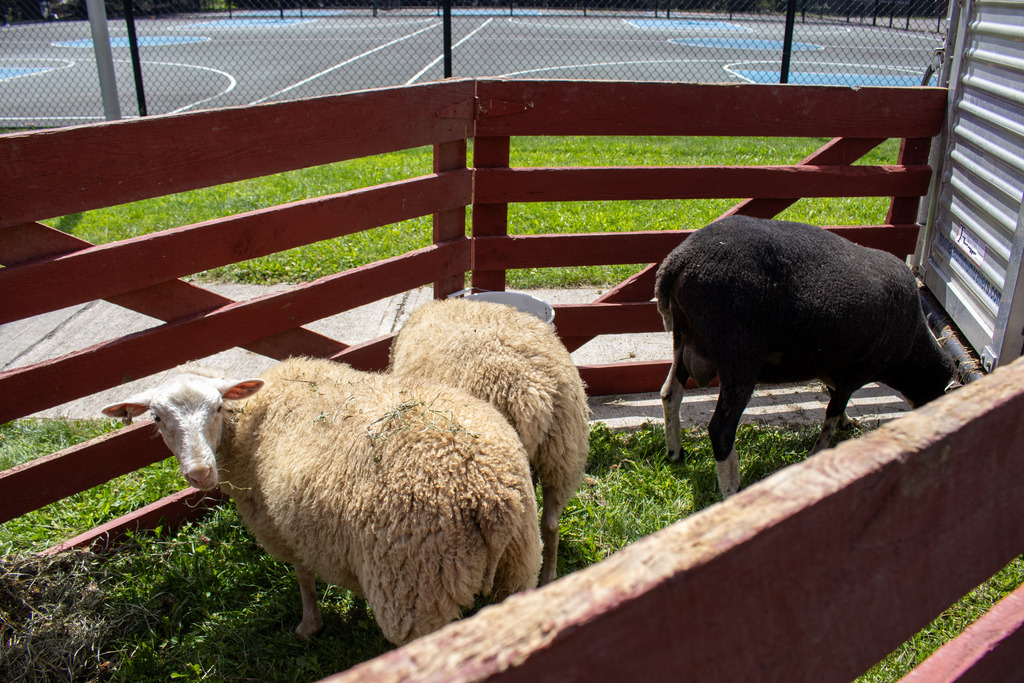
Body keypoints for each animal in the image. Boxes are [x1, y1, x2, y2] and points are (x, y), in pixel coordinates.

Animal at [100, 356, 541, 646]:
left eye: (218, 407)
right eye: (156, 418)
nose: (198, 473)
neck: (247, 418)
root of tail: (487, 496)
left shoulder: (280, 526)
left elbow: (303, 577)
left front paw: (309, 626)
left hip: (417, 591)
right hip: (517, 567)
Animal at [655, 215, 957, 498]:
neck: (912, 347)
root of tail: (678, 261)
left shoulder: (833, 365)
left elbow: (834, 398)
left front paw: (848, 422)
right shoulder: (858, 370)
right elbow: (832, 412)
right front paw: (820, 451)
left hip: (685, 337)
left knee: (670, 393)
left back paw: (675, 453)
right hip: (739, 355)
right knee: (721, 431)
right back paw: (732, 490)